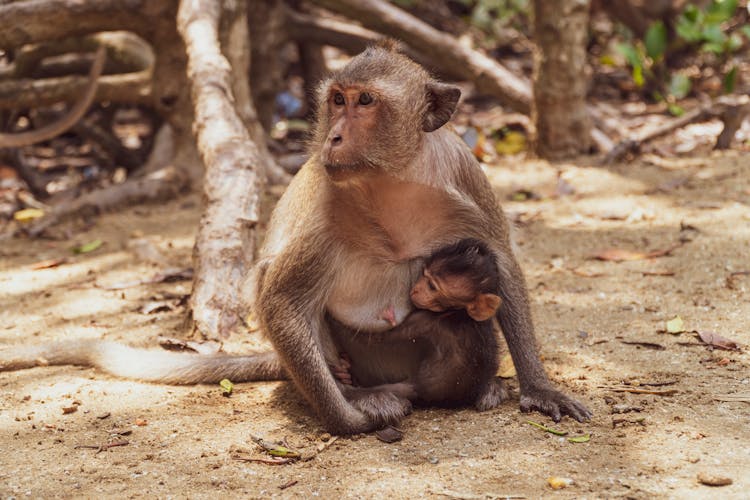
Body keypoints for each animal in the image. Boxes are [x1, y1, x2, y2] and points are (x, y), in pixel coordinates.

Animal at [338, 238, 508, 410]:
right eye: (424, 274)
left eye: (432, 286)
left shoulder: (426, 321)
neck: (461, 313)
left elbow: (378, 337)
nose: (415, 290)